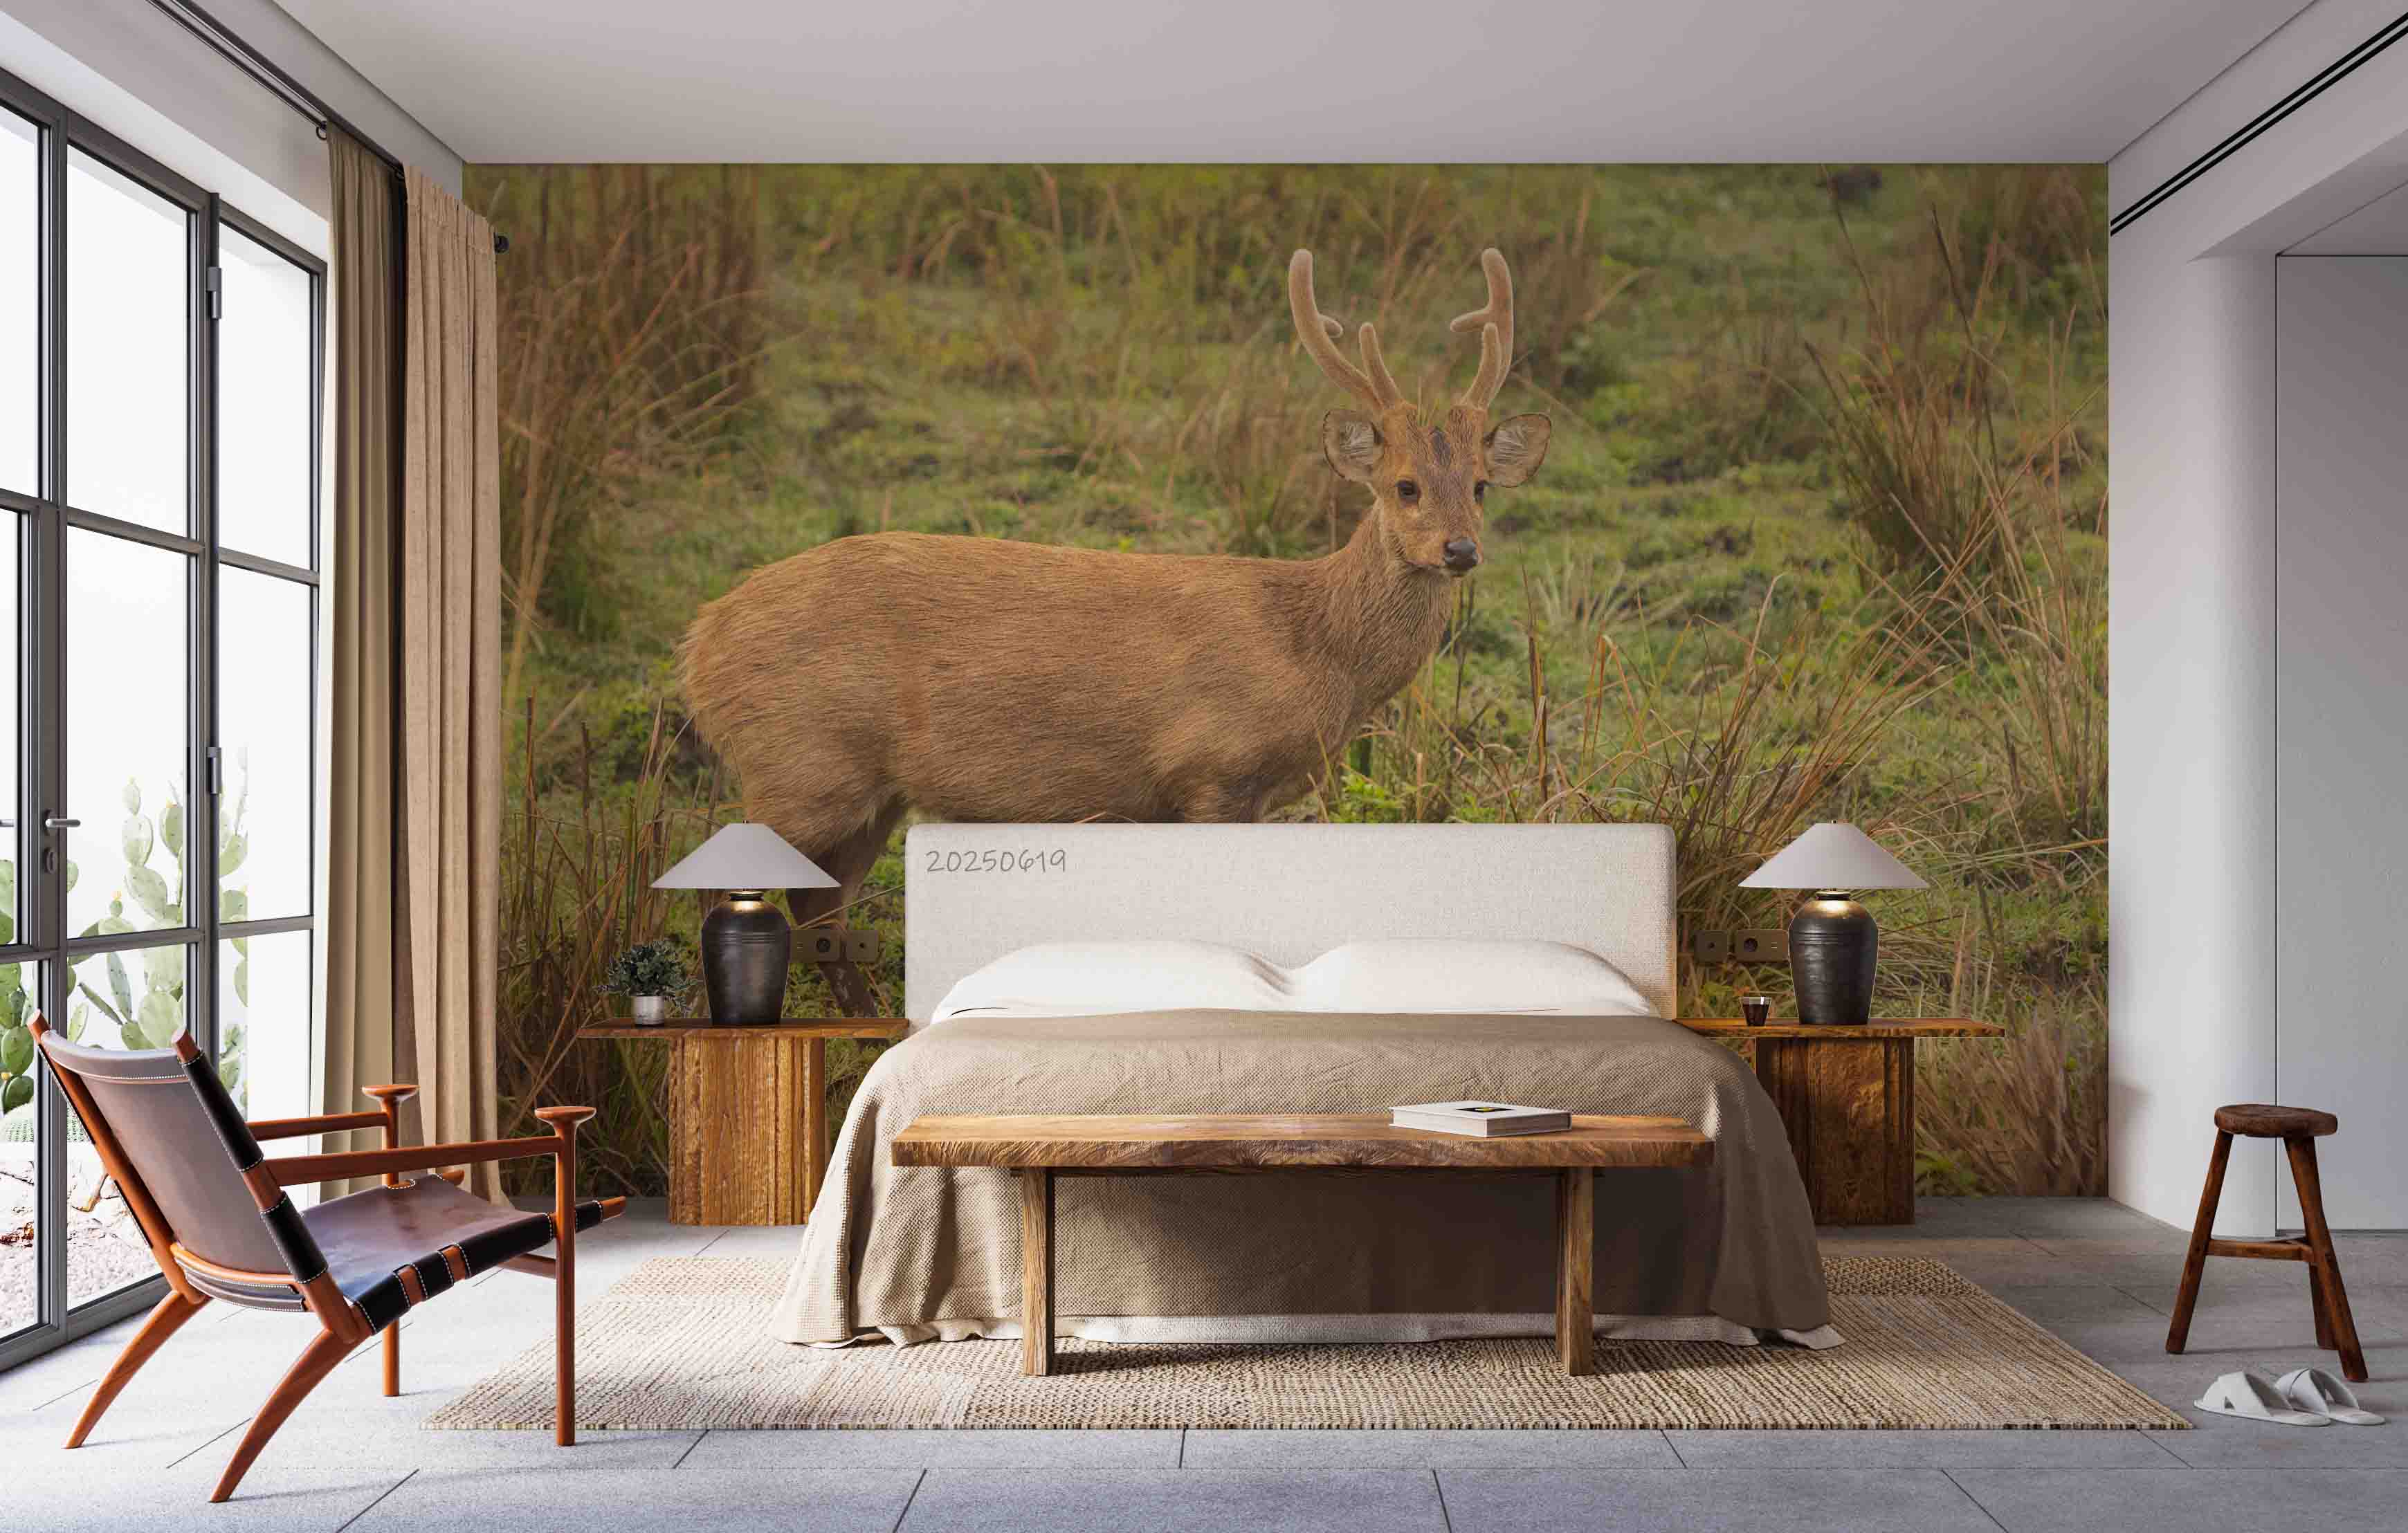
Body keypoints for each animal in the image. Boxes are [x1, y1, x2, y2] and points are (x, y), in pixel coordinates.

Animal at [679, 246, 1552, 977]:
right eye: (1405, 485)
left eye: (1480, 485)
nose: (1460, 549)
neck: (1314, 653)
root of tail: (699, 640)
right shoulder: (1211, 770)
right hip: (797, 761)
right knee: (727, 894)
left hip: (862, 792)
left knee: (819, 914)